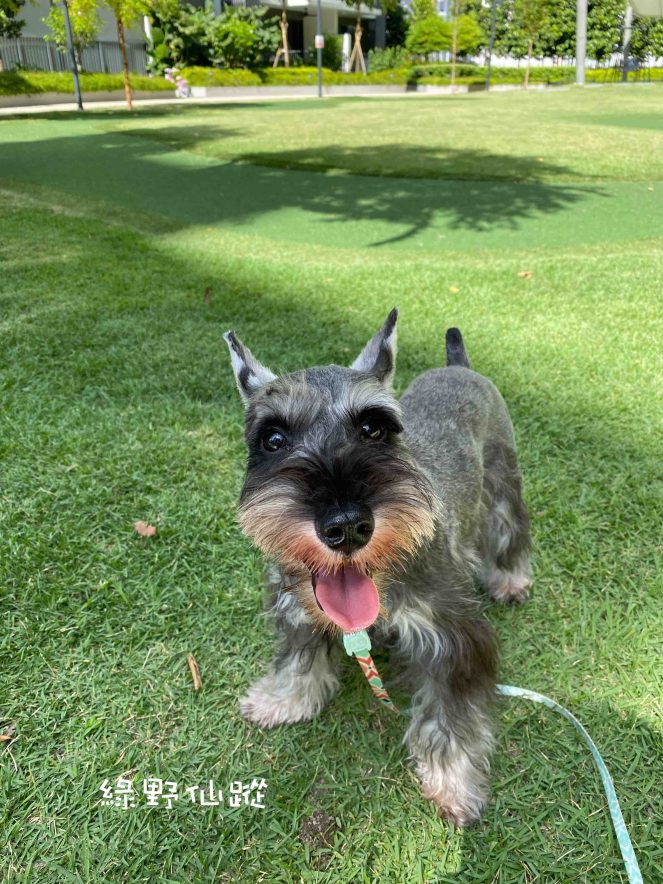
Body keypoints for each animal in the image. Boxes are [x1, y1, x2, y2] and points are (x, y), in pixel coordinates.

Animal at [223, 310, 531, 826]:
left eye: (374, 429)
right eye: (273, 439)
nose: (347, 526)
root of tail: (457, 366)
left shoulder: (453, 638)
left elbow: (451, 717)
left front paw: (453, 785)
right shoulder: (295, 609)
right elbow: (298, 658)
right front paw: (283, 700)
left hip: (504, 479)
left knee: (509, 531)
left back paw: (510, 579)